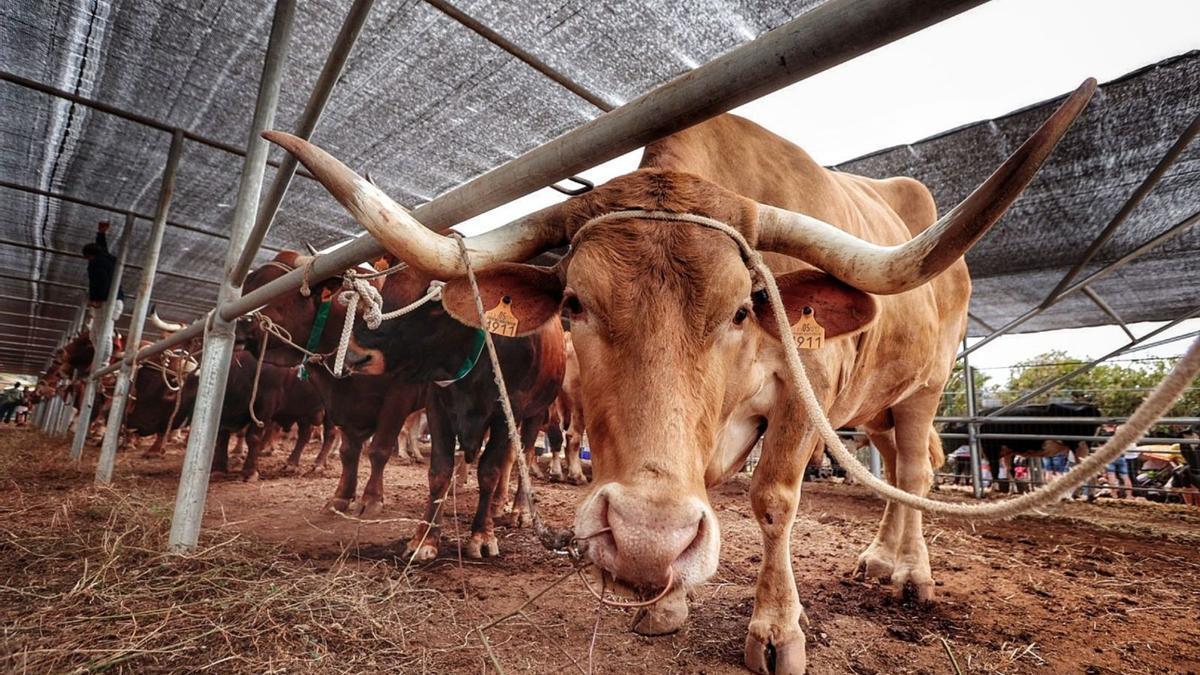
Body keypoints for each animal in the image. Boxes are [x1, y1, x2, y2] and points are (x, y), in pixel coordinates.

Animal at [272, 79, 1099, 672]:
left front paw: (777, 630)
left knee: (919, 475)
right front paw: (665, 599)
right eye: (573, 303)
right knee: (898, 467)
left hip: (925, 386)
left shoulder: (804, 397)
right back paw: (880, 558)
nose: (639, 541)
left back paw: (913, 575)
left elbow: (773, 500)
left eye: (741, 308)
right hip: (879, 407)